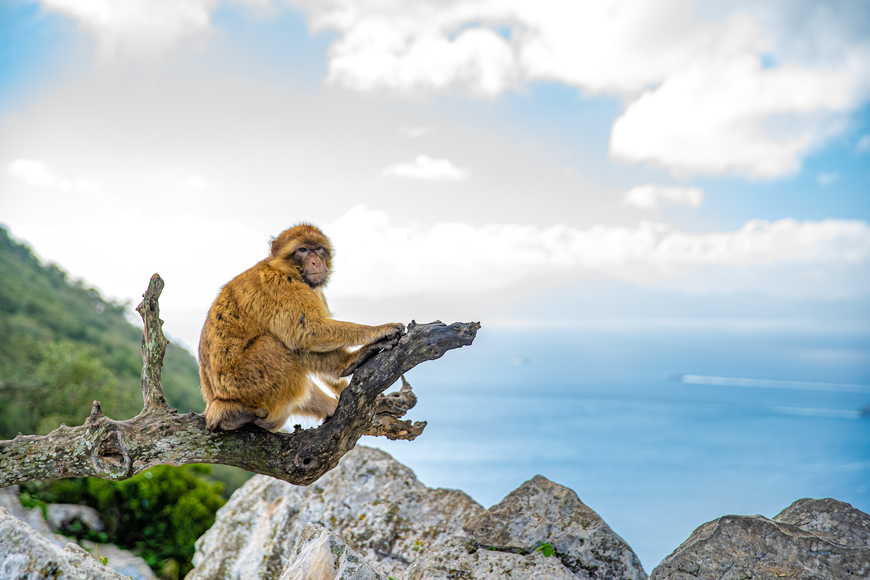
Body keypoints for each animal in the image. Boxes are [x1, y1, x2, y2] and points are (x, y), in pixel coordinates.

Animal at [199, 224, 408, 432]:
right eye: (303, 250)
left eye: (318, 249)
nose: (315, 262)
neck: (285, 270)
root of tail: (214, 404)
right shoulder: (279, 286)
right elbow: (306, 331)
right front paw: (379, 330)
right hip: (242, 382)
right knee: (277, 343)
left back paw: (347, 364)